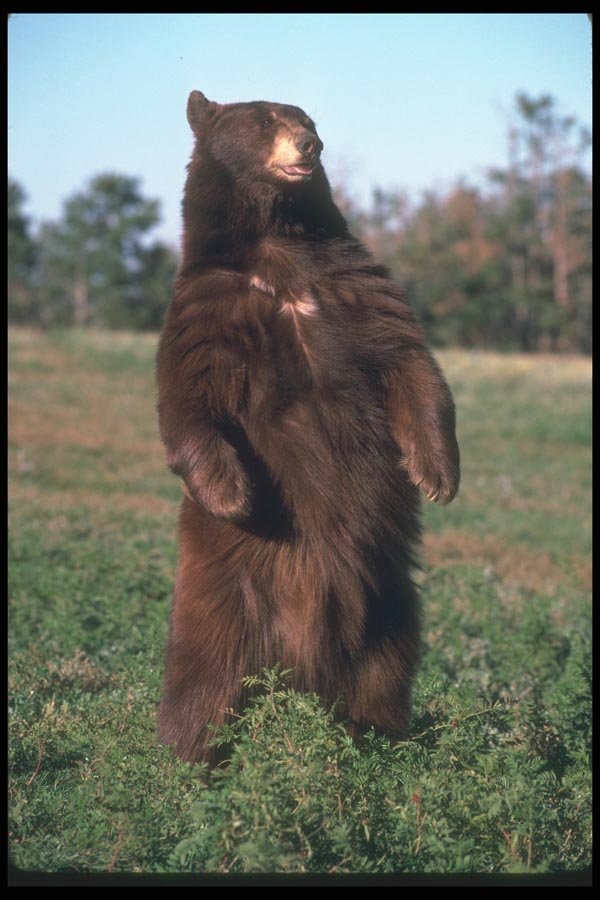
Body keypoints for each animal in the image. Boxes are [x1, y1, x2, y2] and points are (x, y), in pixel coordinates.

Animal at [155, 91, 460, 765]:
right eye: (264, 121)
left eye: (309, 120)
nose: (311, 145)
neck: (278, 246)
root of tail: (299, 667)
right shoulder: (207, 308)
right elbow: (187, 400)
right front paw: (234, 494)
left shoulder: (353, 286)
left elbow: (410, 359)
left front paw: (436, 474)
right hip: (227, 598)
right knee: (204, 682)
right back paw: (186, 760)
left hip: (388, 607)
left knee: (383, 676)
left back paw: (380, 742)